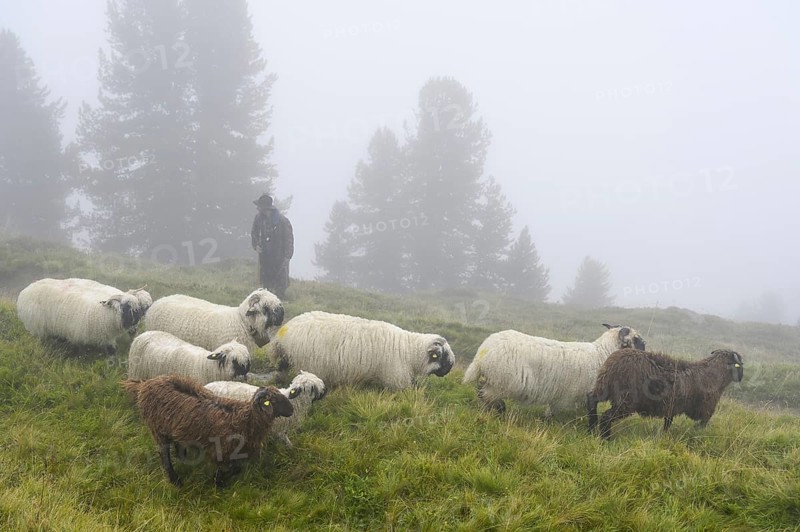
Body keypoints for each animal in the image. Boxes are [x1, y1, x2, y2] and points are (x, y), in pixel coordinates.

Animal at [15, 277, 152, 354]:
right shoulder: (83, 334)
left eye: (138, 308)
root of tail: (26, 289)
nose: (136, 323)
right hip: (37, 327)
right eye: (126, 307)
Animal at [122, 374, 293, 487]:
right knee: (164, 455)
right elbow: (227, 469)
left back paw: (183, 457)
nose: (291, 410)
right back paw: (175, 480)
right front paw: (218, 483)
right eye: (273, 401)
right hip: (158, 429)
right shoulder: (222, 450)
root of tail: (145, 384)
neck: (246, 418)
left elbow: (236, 468)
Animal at [272, 311, 455, 389]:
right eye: (443, 356)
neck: (409, 351)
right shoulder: (396, 378)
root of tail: (284, 331)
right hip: (310, 363)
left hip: (287, 358)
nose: (448, 370)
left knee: (281, 370)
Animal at [463, 324, 646, 415]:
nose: (646, 350)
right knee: (485, 394)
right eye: (636, 339)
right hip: (502, 383)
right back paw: (499, 410)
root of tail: (482, 352)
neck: (602, 353)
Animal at [587, 348, 744, 439]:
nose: (741, 378)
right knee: (606, 416)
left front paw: (663, 437)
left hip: (602, 387)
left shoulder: (671, 408)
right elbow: (700, 426)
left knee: (591, 400)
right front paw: (696, 435)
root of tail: (613, 363)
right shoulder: (706, 410)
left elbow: (668, 424)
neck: (715, 374)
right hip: (625, 401)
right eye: (740, 365)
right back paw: (605, 438)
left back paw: (591, 428)